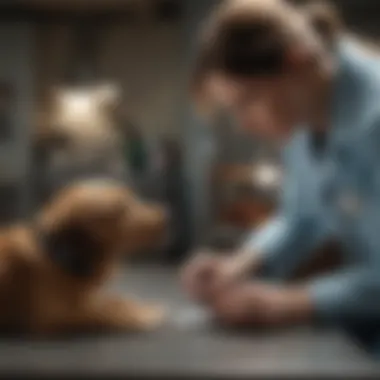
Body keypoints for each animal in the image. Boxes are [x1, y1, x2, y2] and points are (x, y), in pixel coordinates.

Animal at [0, 180, 168, 336]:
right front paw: (145, 313)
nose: (166, 214)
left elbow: (114, 301)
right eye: (123, 210)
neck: (57, 259)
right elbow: (110, 308)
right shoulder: (57, 314)